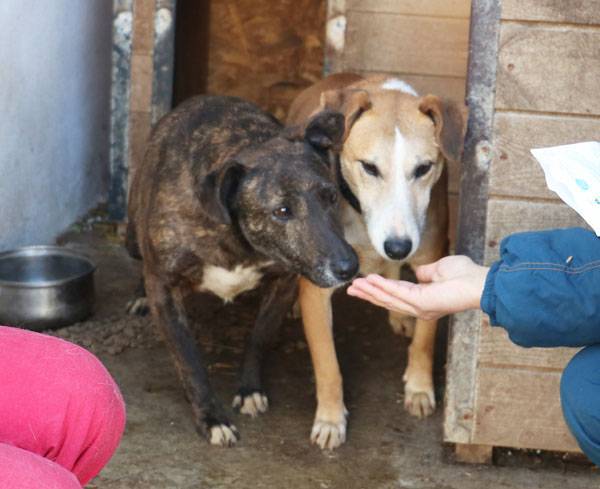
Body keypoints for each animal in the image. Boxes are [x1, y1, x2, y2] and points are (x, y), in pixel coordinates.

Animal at [126, 95, 359, 446]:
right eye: (282, 211)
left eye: (331, 196)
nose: (349, 267)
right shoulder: (164, 290)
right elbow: (191, 363)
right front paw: (212, 418)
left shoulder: (285, 280)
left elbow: (259, 336)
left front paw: (249, 389)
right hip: (132, 238)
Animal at [287, 73, 467, 449]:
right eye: (369, 167)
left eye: (423, 168)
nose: (398, 246)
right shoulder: (318, 292)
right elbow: (327, 364)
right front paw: (330, 419)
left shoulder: (429, 259)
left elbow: (425, 339)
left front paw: (419, 387)